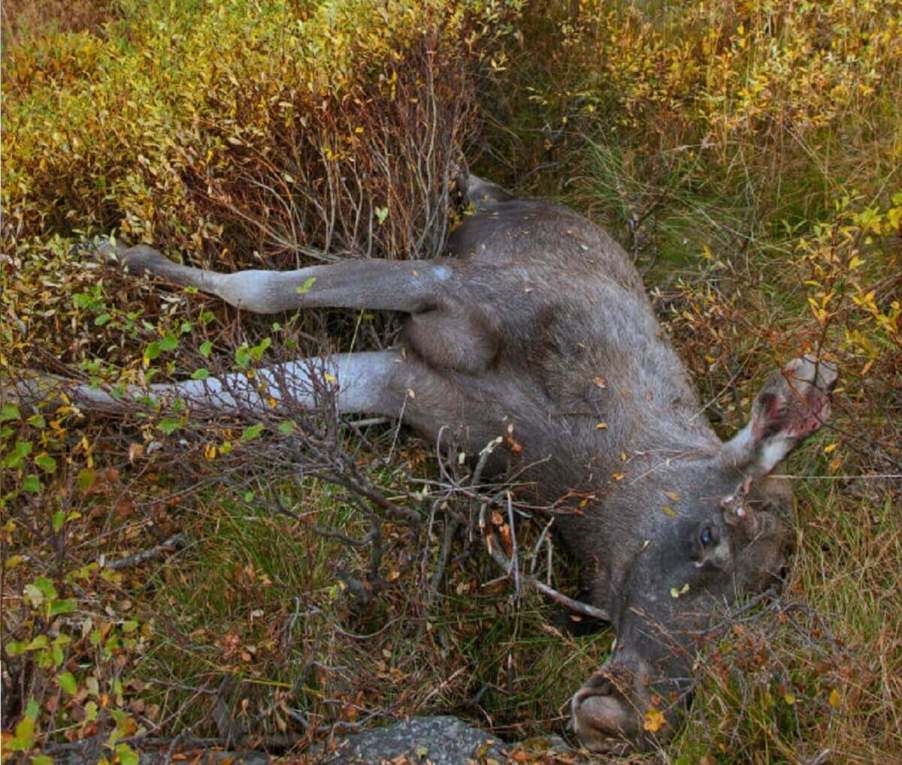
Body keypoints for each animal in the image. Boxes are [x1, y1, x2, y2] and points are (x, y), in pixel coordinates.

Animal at [10, 175, 836, 752]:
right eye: (709, 534)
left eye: (754, 614)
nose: (622, 711)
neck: (566, 461)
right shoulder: (447, 289)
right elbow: (261, 290)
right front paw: (111, 253)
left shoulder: (397, 381)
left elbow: (186, 398)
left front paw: (31, 389)